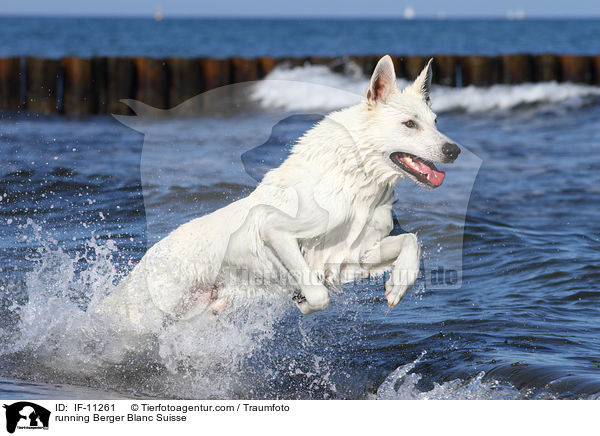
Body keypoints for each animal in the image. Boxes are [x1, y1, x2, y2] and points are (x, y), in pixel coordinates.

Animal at [97, 56, 460, 332]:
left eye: (435, 121)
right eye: (409, 124)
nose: (454, 150)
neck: (355, 181)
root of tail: (145, 260)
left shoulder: (352, 254)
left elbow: (411, 241)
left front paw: (399, 282)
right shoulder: (275, 229)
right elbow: (318, 295)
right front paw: (303, 300)